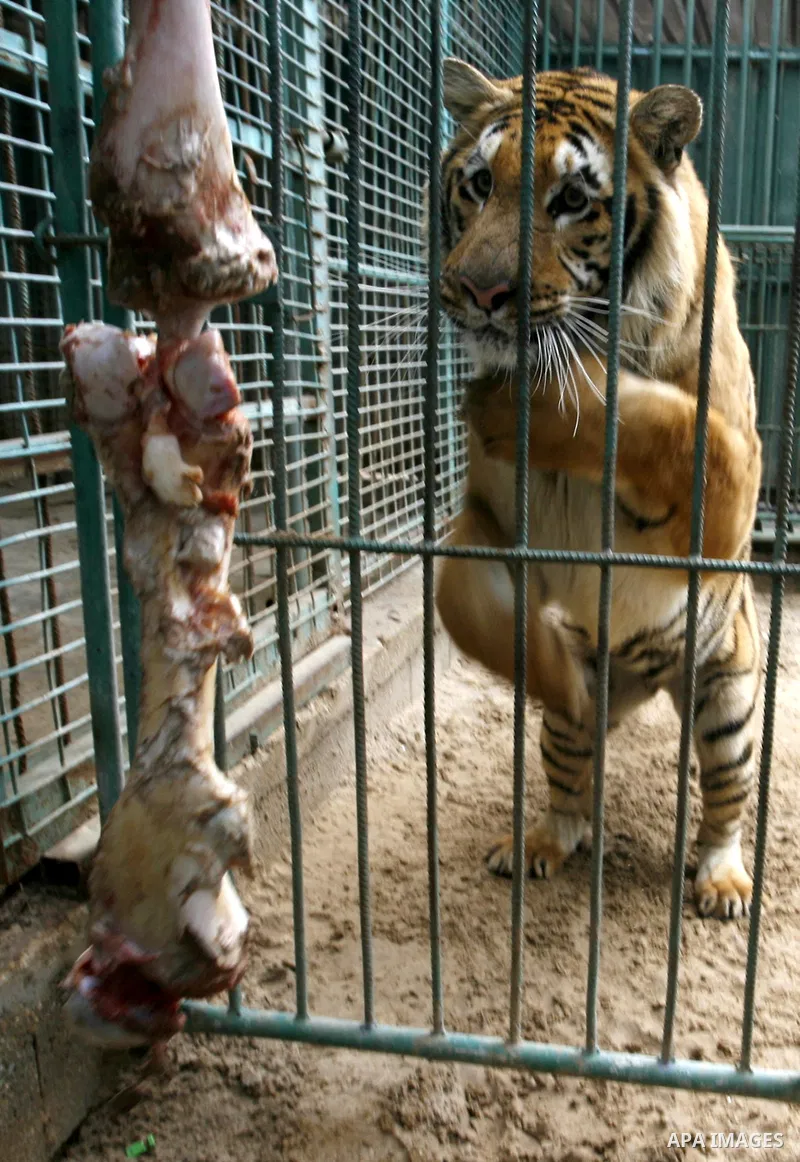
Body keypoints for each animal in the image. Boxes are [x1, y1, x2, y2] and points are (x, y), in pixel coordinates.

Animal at [433, 59, 764, 919]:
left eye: (572, 200)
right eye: (479, 182)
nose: (478, 292)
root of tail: (642, 687)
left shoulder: (725, 501)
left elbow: (659, 421)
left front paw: (534, 400)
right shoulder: (492, 519)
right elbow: (456, 591)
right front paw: (545, 661)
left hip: (729, 701)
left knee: (724, 803)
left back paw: (721, 880)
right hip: (565, 737)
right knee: (571, 790)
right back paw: (539, 840)